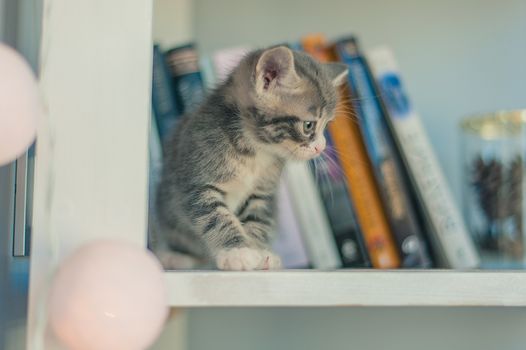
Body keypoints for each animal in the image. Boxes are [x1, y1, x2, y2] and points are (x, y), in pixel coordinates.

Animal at [153, 45, 350, 270]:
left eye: (327, 125)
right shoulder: (196, 183)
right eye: (309, 125)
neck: (254, 151)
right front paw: (238, 252)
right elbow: (215, 217)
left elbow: (258, 220)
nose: (321, 147)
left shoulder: (262, 194)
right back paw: (175, 258)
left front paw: (259, 253)